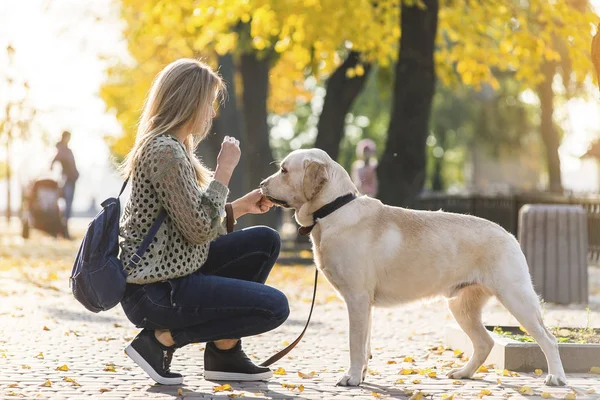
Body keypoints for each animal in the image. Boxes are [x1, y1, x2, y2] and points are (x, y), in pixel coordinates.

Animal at [258, 148, 568, 388]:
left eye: (284, 170)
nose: (261, 184)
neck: (333, 209)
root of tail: (508, 234)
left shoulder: (357, 298)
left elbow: (355, 343)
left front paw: (352, 377)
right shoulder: (365, 303)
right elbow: (365, 344)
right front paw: (363, 375)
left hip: (516, 297)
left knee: (548, 339)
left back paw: (556, 378)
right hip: (462, 306)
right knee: (485, 343)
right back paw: (464, 373)